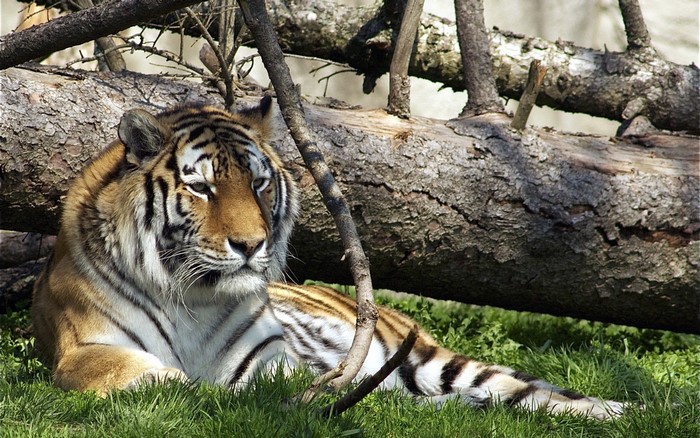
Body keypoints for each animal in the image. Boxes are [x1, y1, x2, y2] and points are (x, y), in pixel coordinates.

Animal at [31, 96, 624, 420]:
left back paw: (625, 410)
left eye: (259, 183)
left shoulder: (267, 363)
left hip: (435, 361)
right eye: (200, 187)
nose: (251, 245)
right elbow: (163, 379)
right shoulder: (84, 351)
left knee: (530, 392)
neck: (194, 298)